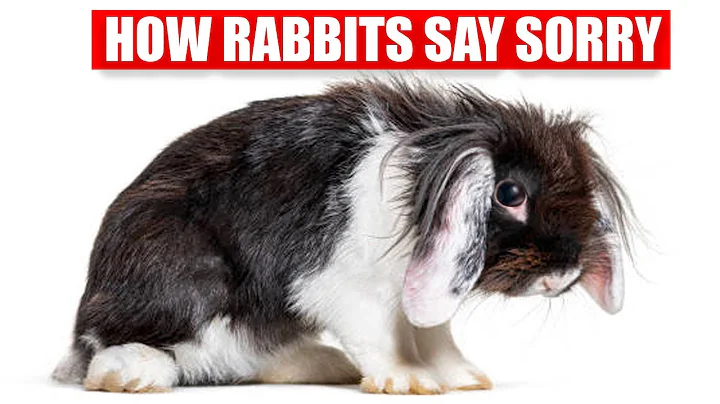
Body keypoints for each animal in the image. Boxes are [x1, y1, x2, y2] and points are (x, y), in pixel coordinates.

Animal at [52, 78, 633, 394]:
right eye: (510, 193)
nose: (565, 272)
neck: (420, 184)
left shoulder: (417, 289)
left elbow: (434, 334)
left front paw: (464, 377)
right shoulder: (346, 288)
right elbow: (381, 336)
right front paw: (407, 380)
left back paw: (322, 364)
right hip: (180, 272)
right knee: (126, 345)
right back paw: (132, 373)